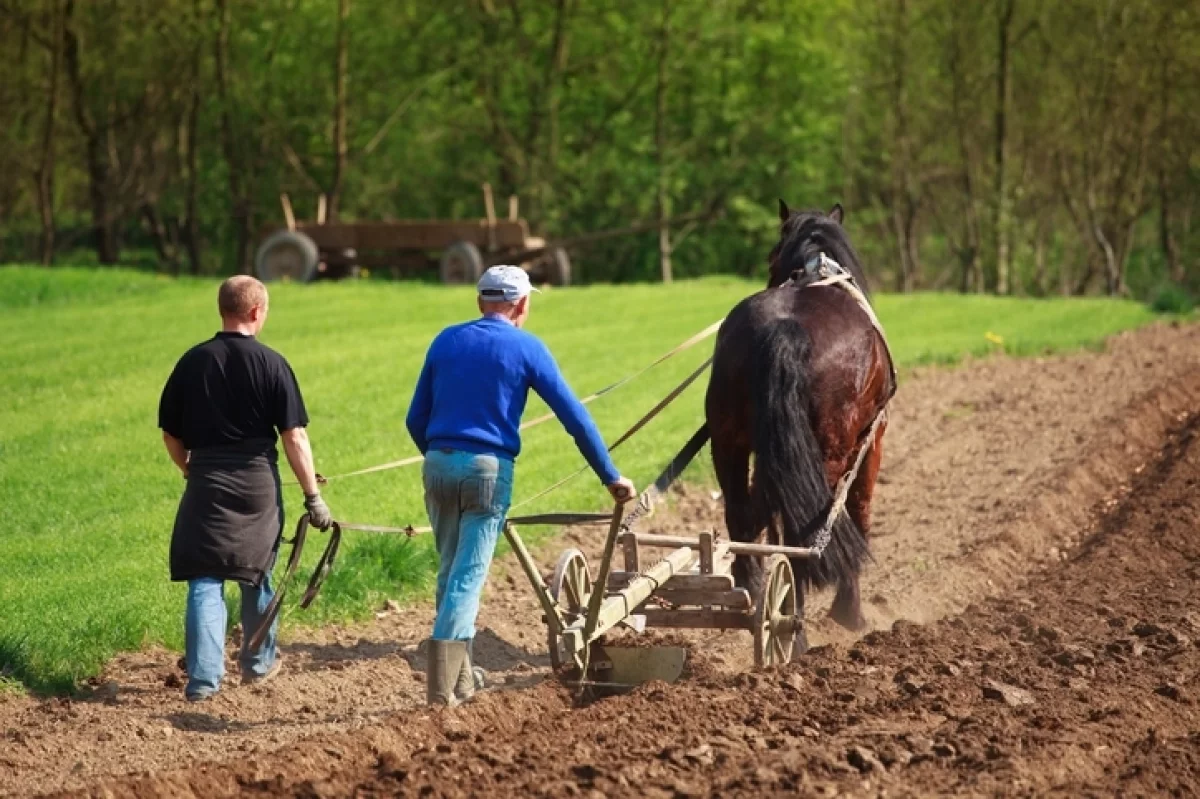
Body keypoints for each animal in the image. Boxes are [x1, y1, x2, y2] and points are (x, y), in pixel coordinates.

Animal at [700, 202, 892, 652]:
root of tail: (783, 328)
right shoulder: (871, 441)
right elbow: (859, 511)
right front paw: (850, 611)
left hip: (727, 442)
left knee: (743, 514)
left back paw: (751, 596)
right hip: (830, 451)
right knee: (802, 531)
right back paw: (793, 626)